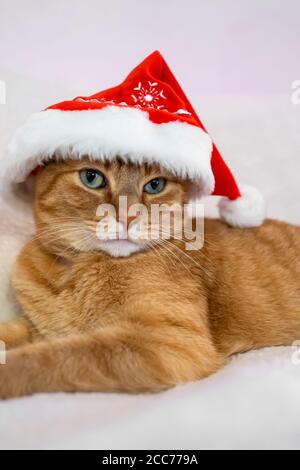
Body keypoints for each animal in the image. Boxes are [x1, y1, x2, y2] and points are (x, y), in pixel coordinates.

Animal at [0, 156, 300, 398]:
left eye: (155, 185)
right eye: (91, 177)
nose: (128, 216)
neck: (73, 271)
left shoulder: (168, 344)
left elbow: (54, 357)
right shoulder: (36, 329)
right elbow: (12, 334)